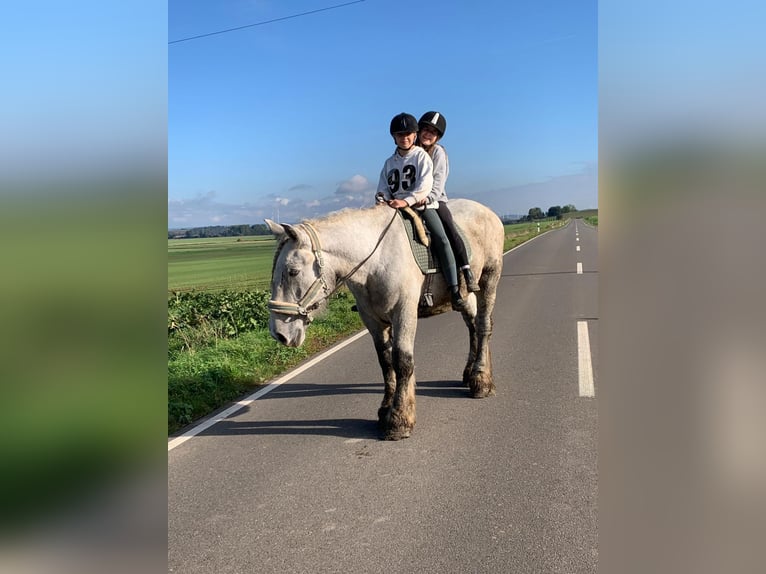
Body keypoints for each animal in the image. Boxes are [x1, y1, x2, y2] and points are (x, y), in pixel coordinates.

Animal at [268, 200, 508, 444]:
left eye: (293, 271)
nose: (279, 333)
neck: (376, 261)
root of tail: (488, 212)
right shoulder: (373, 320)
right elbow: (385, 362)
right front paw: (385, 410)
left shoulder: (404, 312)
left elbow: (402, 361)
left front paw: (399, 420)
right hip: (465, 296)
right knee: (473, 327)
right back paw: (470, 373)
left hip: (489, 279)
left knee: (483, 326)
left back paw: (481, 381)